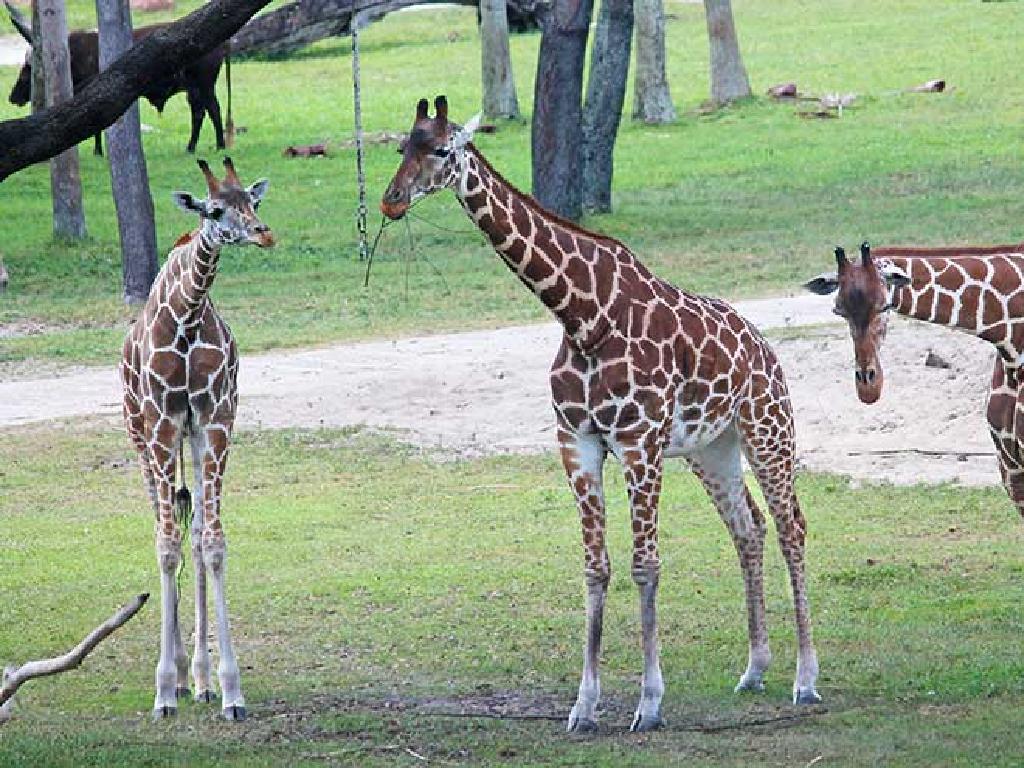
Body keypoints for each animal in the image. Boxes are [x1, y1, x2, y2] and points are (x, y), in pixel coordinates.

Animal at [119, 156, 274, 720]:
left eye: (253, 201)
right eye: (214, 209)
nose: (262, 232)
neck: (186, 314)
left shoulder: (216, 418)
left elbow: (213, 541)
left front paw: (229, 690)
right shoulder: (162, 421)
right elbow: (166, 547)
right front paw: (164, 689)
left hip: (190, 437)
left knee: (195, 522)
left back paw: (201, 679)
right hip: (140, 435)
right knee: (166, 524)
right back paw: (181, 677)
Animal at [382, 97, 823, 733]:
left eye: (440, 150)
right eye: (403, 147)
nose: (391, 200)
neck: (581, 316)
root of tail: (763, 344)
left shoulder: (640, 442)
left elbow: (646, 565)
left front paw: (649, 703)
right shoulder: (578, 441)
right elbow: (596, 567)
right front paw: (583, 706)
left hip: (768, 428)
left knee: (792, 527)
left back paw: (805, 680)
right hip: (710, 449)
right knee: (750, 527)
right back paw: (754, 669)